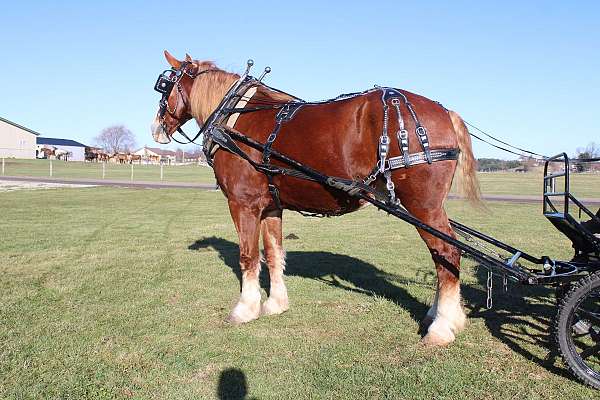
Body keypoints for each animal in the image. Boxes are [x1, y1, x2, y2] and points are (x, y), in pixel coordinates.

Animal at [152, 51, 480, 346]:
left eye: (164, 85)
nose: (155, 129)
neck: (234, 118)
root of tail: (445, 112)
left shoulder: (243, 204)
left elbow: (248, 256)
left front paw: (245, 309)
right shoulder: (271, 207)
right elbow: (273, 253)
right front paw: (275, 304)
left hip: (424, 207)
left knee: (447, 253)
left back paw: (441, 326)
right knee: (442, 256)